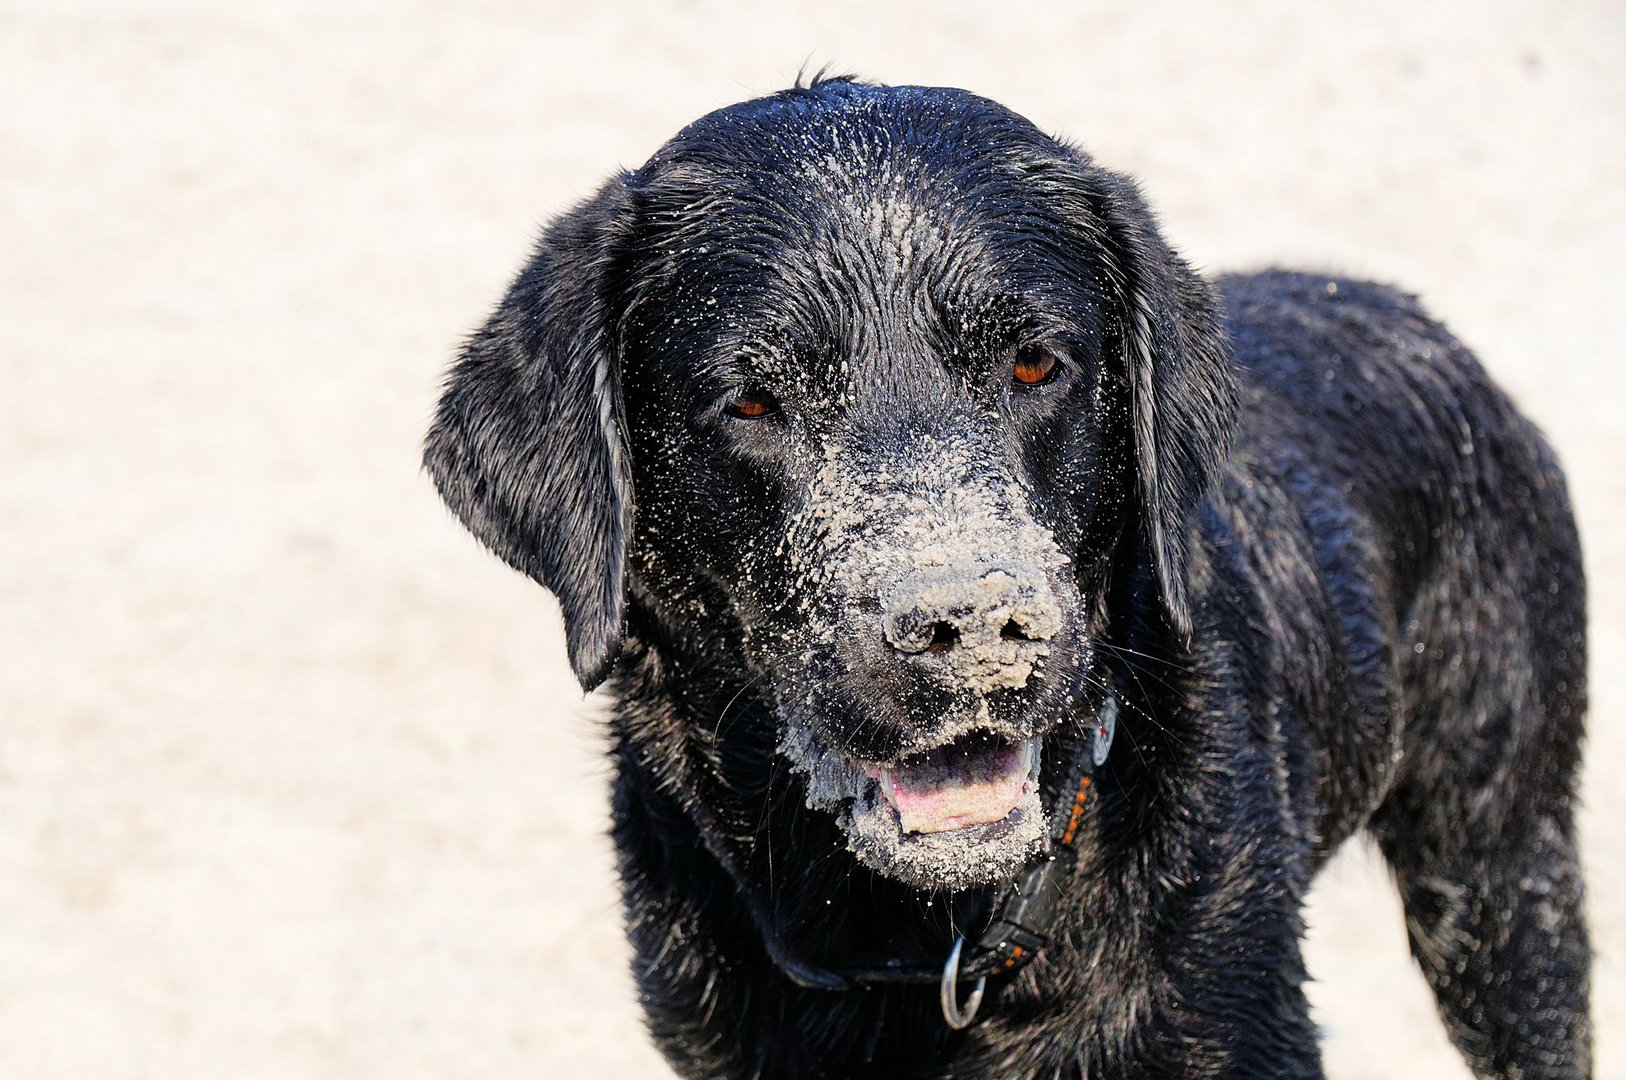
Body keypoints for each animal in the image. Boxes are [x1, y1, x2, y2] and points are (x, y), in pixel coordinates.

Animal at [426, 80, 1593, 1073]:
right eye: (751, 402)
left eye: (1037, 365)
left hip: (1501, 879)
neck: (912, 944)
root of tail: (1407, 314)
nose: (976, 624)